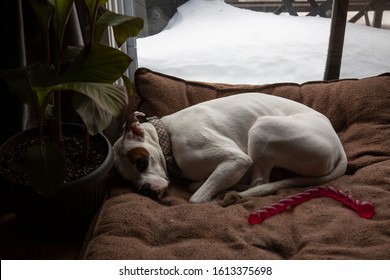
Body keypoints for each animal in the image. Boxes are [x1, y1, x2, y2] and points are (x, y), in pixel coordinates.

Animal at [112, 93, 348, 202]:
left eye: (141, 162)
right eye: (126, 179)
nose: (145, 189)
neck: (167, 138)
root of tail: (339, 148)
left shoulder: (237, 159)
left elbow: (196, 197)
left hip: (263, 127)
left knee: (260, 183)